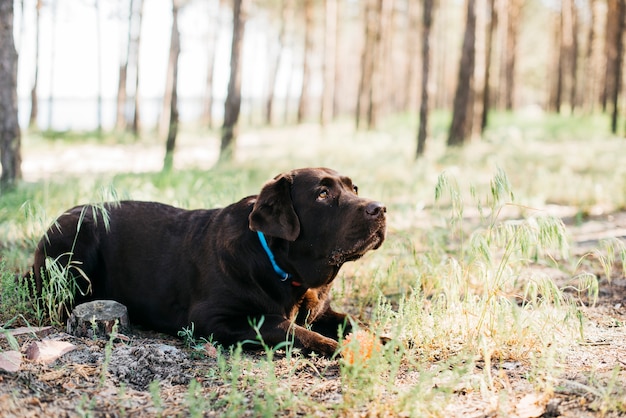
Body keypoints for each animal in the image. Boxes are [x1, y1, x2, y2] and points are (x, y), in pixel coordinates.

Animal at [33, 167, 386, 356]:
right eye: (322, 194)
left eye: (354, 188)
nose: (380, 208)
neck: (283, 268)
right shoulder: (213, 319)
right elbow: (287, 327)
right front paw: (340, 347)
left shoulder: (321, 310)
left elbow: (352, 321)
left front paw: (386, 339)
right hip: (77, 243)